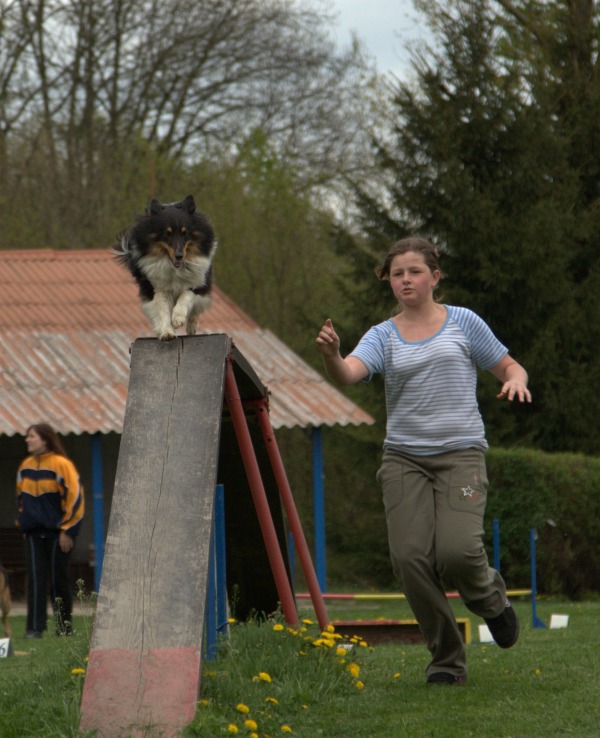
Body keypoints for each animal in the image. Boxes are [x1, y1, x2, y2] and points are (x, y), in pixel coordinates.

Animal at [113, 194, 217, 340]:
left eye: (184, 233)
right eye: (167, 234)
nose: (179, 256)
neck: (175, 268)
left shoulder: (198, 281)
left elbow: (186, 295)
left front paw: (178, 318)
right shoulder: (159, 288)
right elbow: (162, 310)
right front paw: (167, 332)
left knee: (196, 309)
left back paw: (191, 327)